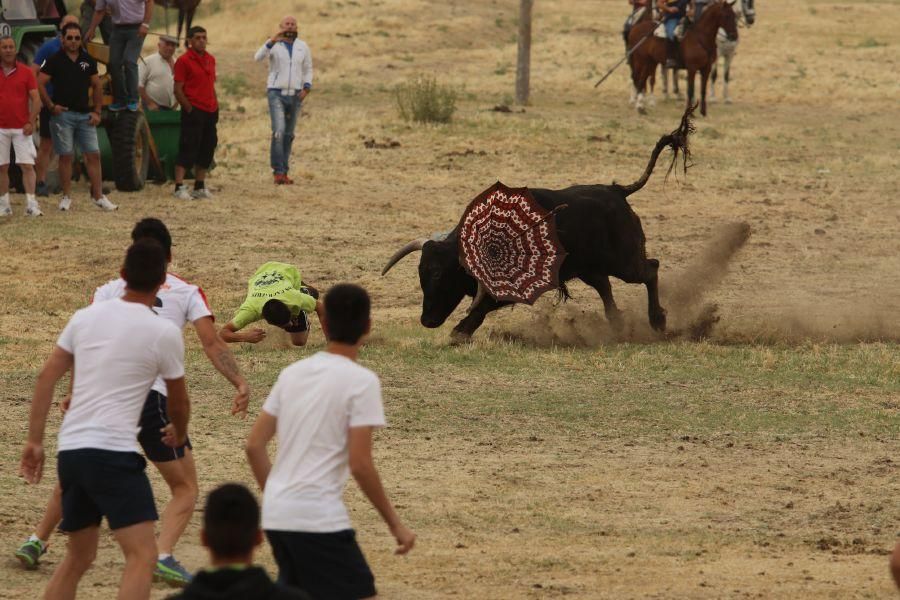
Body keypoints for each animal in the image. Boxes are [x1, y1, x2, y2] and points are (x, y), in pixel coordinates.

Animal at [380, 108, 696, 342]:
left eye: (439, 274)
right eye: (421, 272)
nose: (427, 321)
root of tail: (617, 191)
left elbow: (483, 305)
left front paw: (460, 332)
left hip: (625, 263)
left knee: (651, 269)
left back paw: (658, 321)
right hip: (591, 269)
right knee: (607, 289)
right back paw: (618, 326)